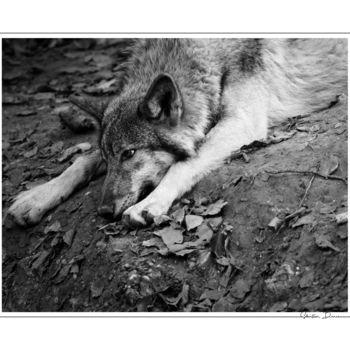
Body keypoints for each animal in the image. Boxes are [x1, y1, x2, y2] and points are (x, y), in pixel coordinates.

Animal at [8, 39, 348, 227]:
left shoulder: (241, 122)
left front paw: (149, 205)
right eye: (110, 156)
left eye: (130, 154)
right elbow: (80, 161)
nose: (104, 211)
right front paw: (37, 196)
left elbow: (184, 164)